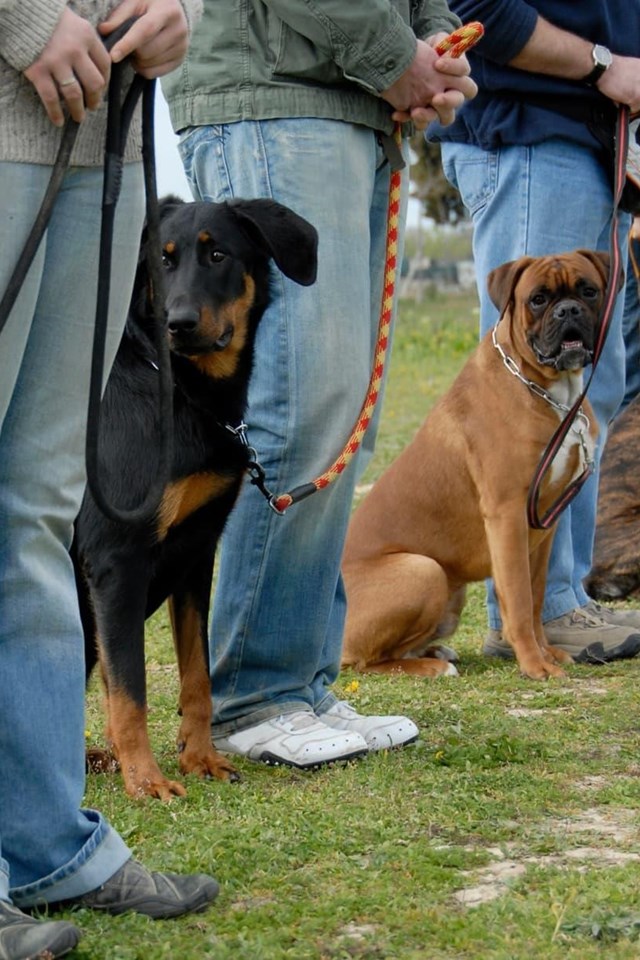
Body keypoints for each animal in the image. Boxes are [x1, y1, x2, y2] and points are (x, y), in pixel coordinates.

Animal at [75, 193, 318, 796]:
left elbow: (197, 676)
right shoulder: (117, 560)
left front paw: (200, 758)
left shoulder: (196, 550)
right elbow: (130, 689)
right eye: (161, 262)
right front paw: (147, 781)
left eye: (218, 255)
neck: (180, 389)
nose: (178, 324)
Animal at [344, 251, 620, 680]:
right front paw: (534, 665)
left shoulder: (544, 524)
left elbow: (536, 596)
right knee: (364, 662)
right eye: (538, 299)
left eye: (588, 290)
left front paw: (546, 652)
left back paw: (436, 651)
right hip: (423, 570)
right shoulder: (507, 516)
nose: (569, 310)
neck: (547, 389)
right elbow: (518, 601)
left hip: (450, 592)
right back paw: (431, 666)